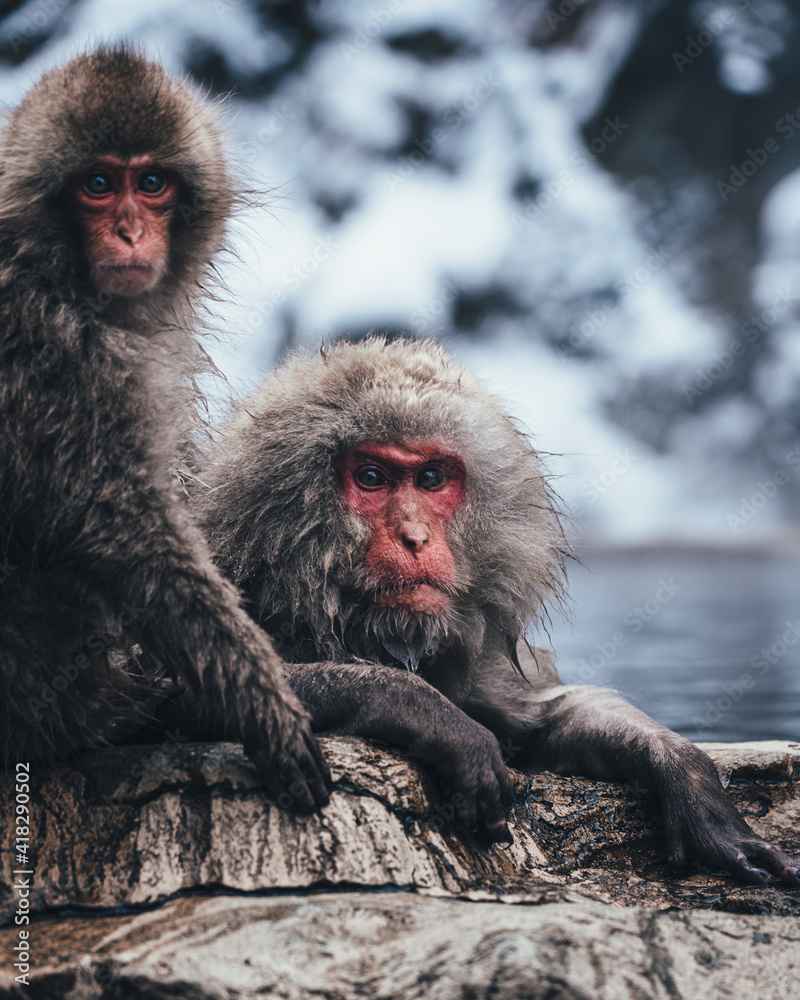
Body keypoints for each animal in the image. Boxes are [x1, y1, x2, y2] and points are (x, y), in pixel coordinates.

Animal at [0, 46, 329, 811]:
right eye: (97, 184)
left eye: (151, 183)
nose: (129, 232)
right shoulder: (50, 344)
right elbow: (121, 529)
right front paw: (263, 704)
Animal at [193, 336, 800, 883]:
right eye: (371, 478)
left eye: (431, 478)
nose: (415, 537)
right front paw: (427, 711)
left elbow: (541, 724)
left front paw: (690, 780)